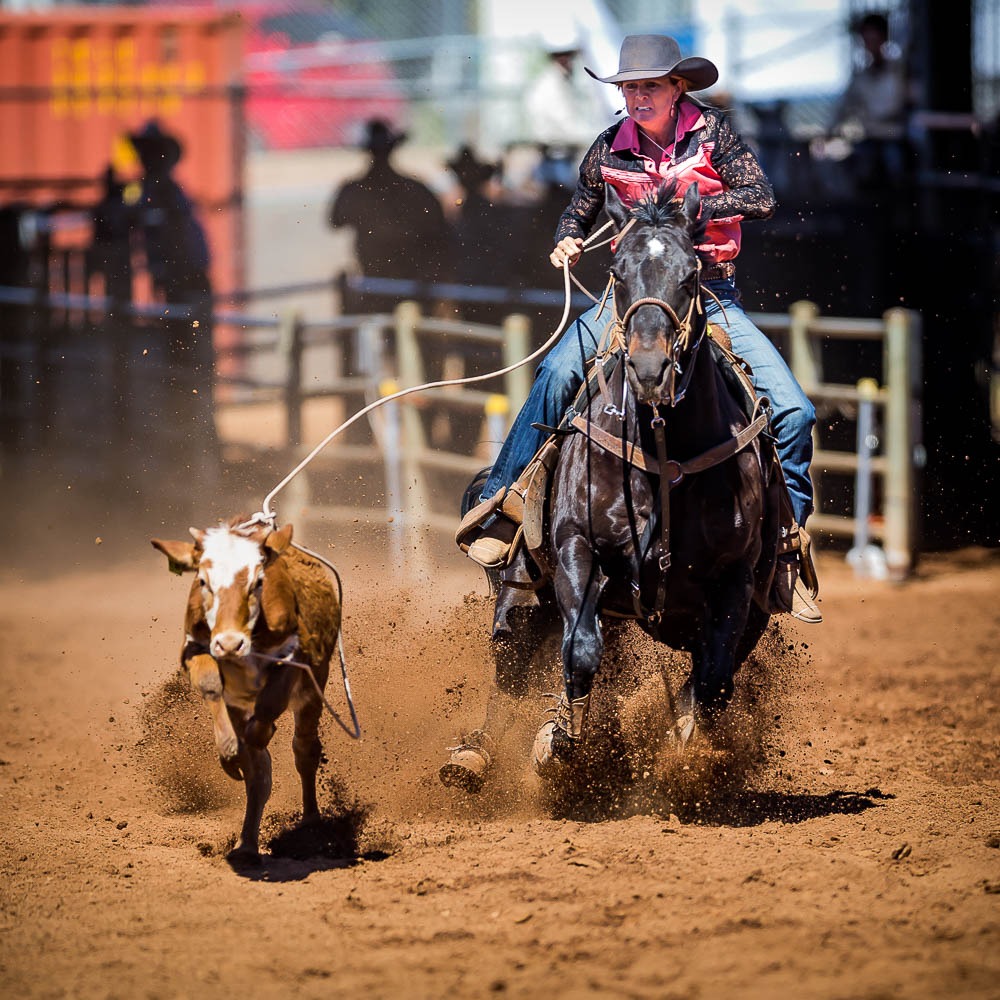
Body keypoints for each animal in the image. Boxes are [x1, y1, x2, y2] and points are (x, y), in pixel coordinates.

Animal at [151, 520, 340, 864]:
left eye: (257, 581)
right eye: (203, 581)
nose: (230, 643)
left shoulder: (294, 659)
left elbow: (269, 710)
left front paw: (254, 738)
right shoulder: (196, 649)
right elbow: (211, 686)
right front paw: (231, 752)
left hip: (315, 685)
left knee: (304, 749)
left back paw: (310, 824)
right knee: (259, 773)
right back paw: (247, 844)